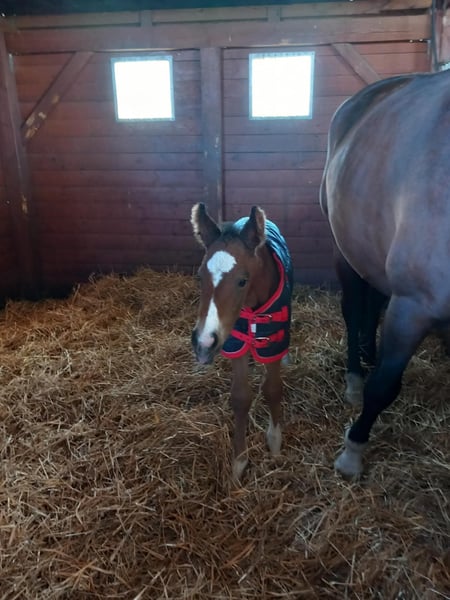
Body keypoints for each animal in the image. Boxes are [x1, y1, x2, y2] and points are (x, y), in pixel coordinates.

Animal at [190, 203, 293, 481]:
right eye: (200, 277)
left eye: (242, 280)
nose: (203, 342)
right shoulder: (235, 342)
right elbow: (240, 397)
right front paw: (239, 461)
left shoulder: (272, 342)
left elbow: (272, 389)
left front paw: (275, 445)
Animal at [320, 69, 450, 477]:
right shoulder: (413, 305)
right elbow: (384, 387)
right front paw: (352, 451)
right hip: (343, 251)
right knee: (353, 313)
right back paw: (355, 377)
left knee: (373, 304)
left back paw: (368, 354)